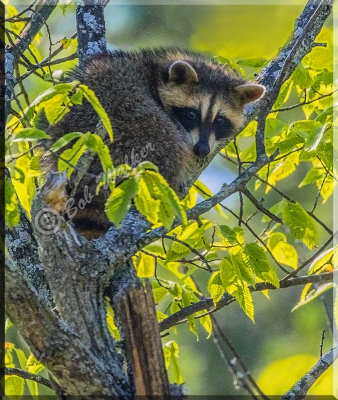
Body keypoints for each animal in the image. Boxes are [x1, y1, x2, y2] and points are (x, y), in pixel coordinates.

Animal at [44, 48, 264, 239]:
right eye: (192, 114)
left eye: (219, 121)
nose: (202, 149)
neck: (156, 70)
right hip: (130, 126)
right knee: (168, 141)